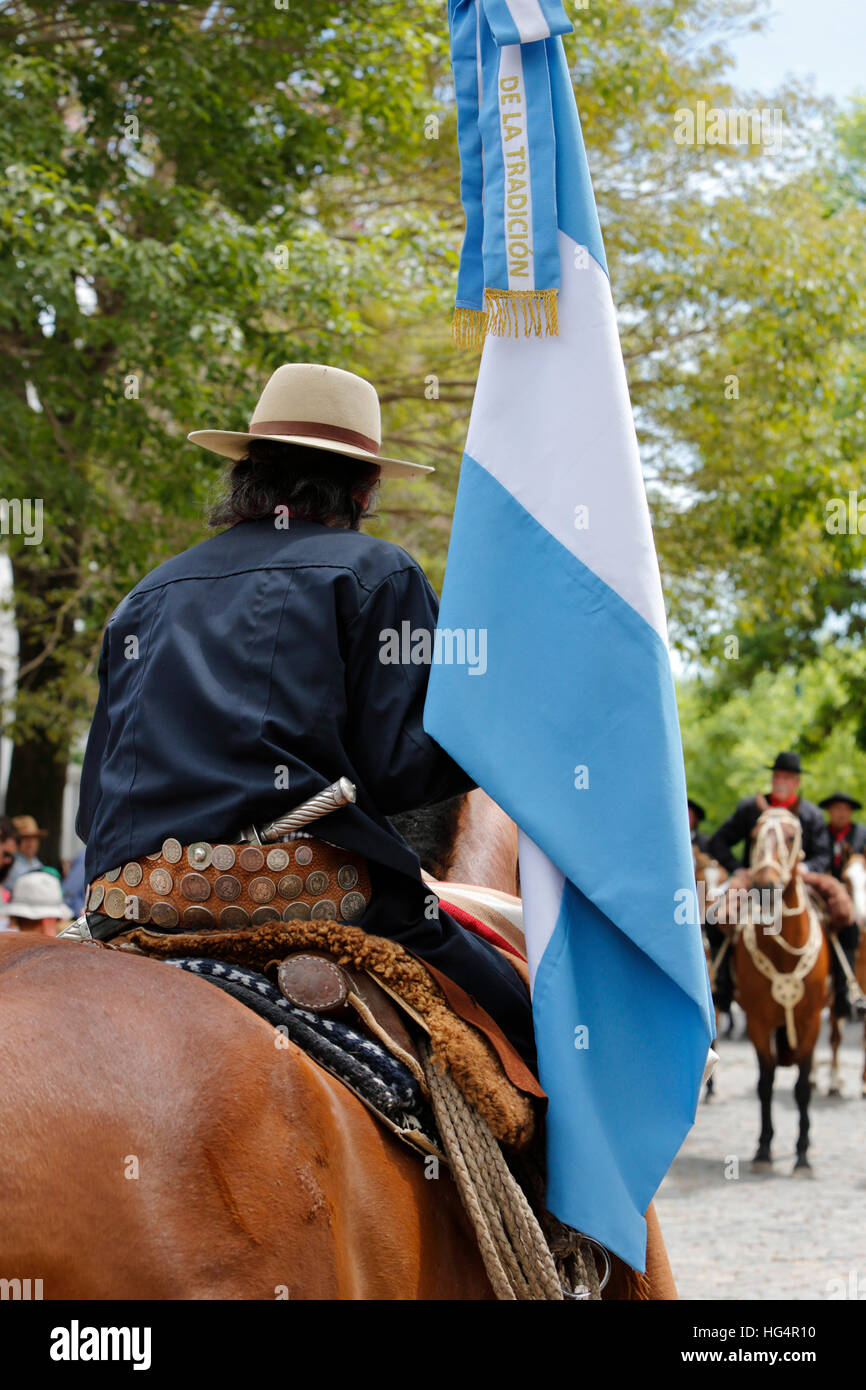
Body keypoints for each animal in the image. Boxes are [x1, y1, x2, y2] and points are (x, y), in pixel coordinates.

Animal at [733, 806, 828, 1173]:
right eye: (754, 835)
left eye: (790, 836)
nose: (765, 885)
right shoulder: (758, 1023)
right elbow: (765, 1083)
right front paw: (763, 1147)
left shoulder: (811, 1022)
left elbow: (802, 1087)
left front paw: (801, 1154)